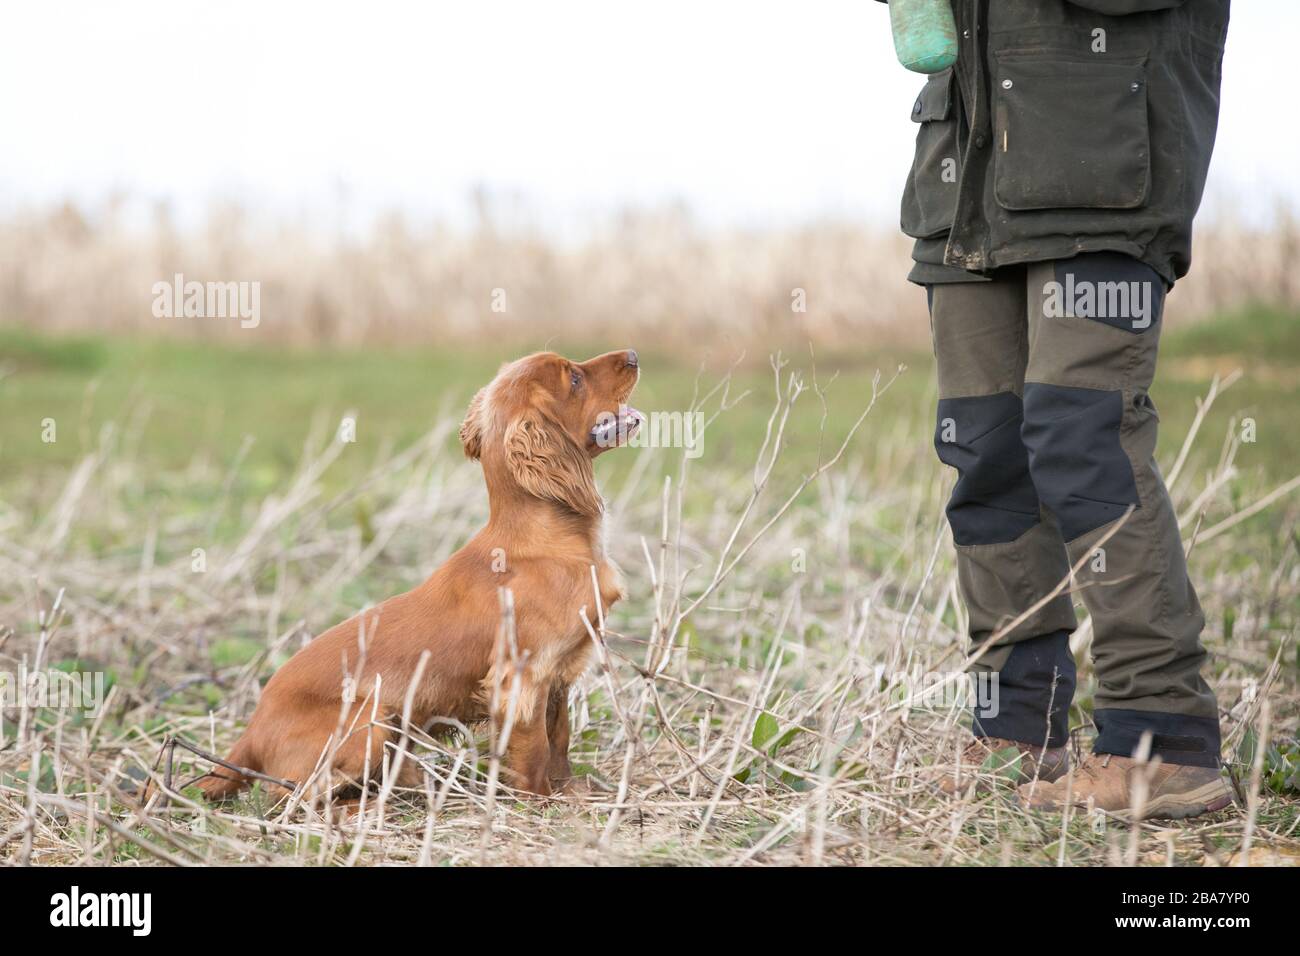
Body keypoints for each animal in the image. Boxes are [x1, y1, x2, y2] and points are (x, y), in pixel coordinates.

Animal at [196, 351, 639, 801]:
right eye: (575, 378)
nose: (633, 356)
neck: (544, 539)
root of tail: (250, 733)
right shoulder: (521, 677)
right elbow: (535, 749)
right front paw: (540, 801)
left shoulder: (559, 673)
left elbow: (560, 736)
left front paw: (570, 790)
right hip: (368, 721)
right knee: (297, 798)